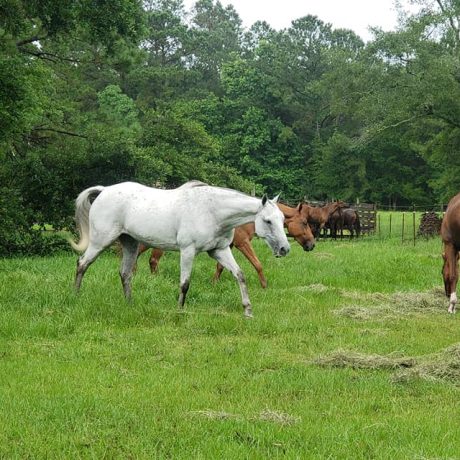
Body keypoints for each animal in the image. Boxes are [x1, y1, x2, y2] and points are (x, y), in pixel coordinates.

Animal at [68, 181, 290, 318]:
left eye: (282, 219)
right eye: (268, 221)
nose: (285, 249)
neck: (212, 211)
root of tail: (104, 190)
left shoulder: (220, 250)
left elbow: (240, 275)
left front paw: (248, 310)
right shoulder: (188, 250)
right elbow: (185, 284)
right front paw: (180, 311)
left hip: (130, 244)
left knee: (125, 274)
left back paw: (129, 304)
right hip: (100, 242)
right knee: (82, 264)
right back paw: (75, 297)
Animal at [141, 201, 316, 288]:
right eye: (304, 222)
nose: (312, 244)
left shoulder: (227, 246)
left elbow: (220, 267)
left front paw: (214, 283)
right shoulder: (242, 243)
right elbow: (257, 264)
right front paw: (264, 285)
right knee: (153, 261)